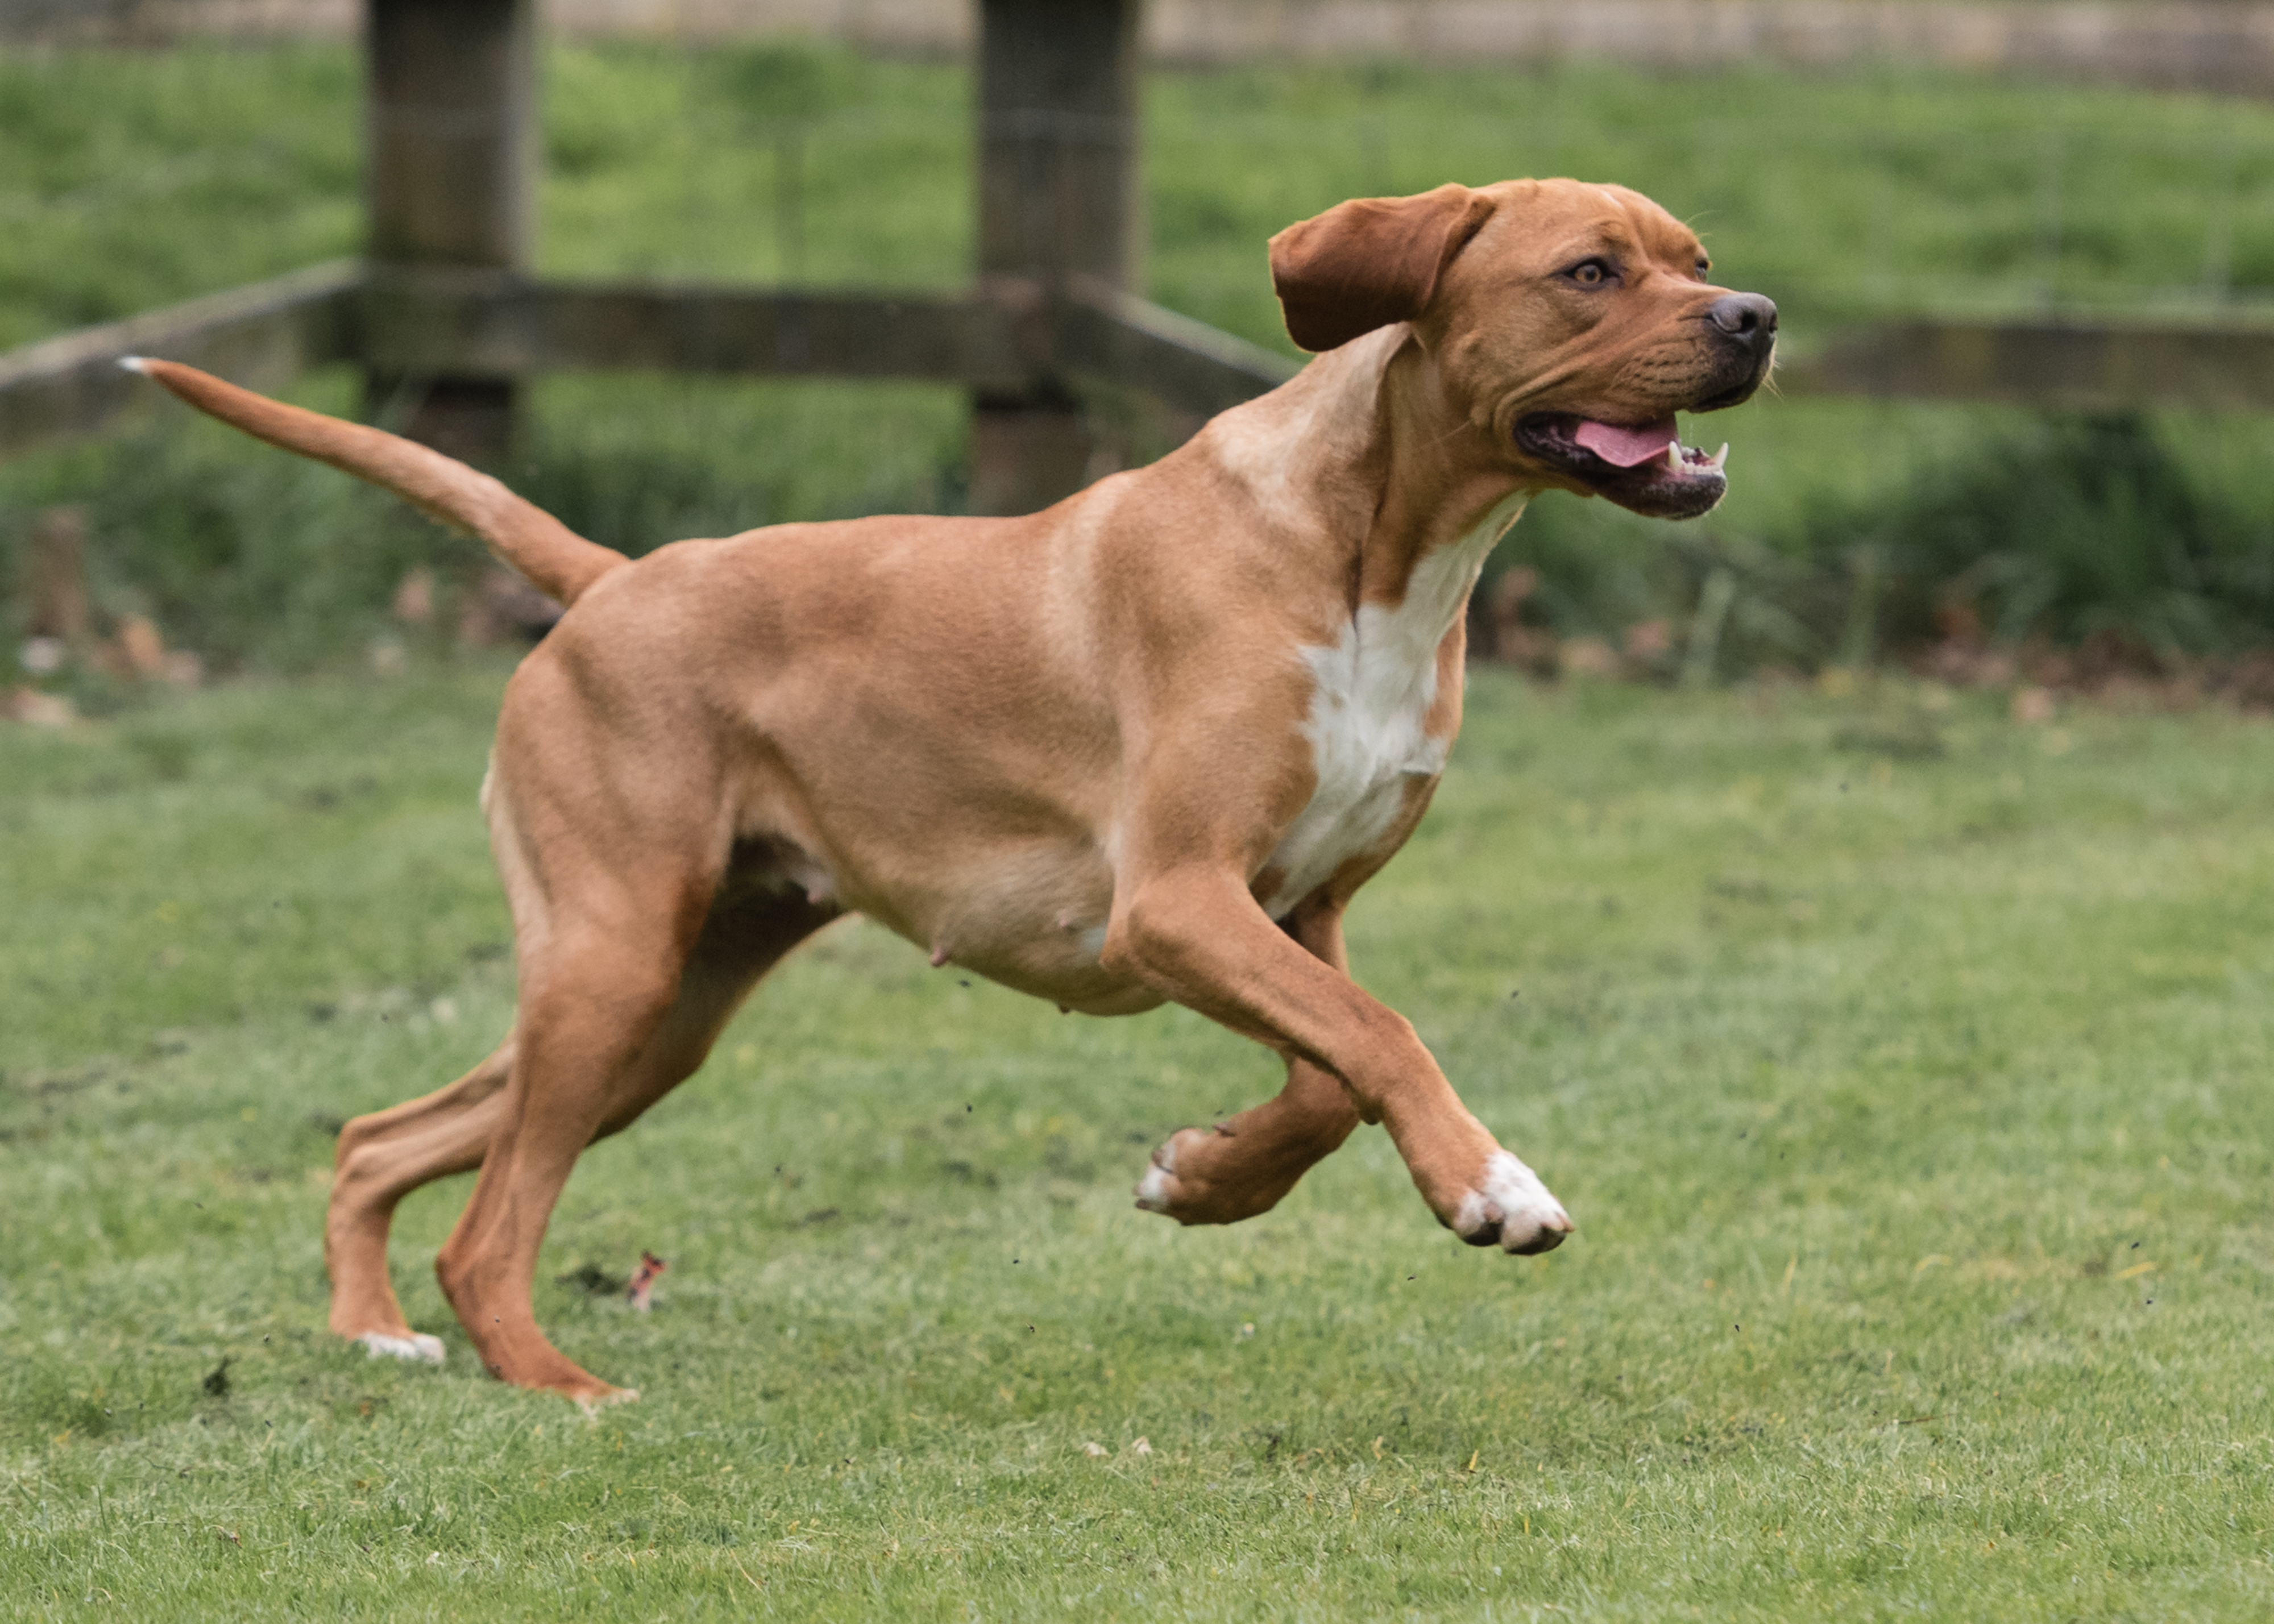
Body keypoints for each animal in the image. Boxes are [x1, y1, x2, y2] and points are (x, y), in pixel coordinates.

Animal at [129, 174, 1774, 1392]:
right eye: (1588, 271)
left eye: (1696, 260)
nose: (1757, 316)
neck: (1374, 551)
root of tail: (608, 579)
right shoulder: (1176, 904)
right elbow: (1383, 1040)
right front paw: (1490, 1187)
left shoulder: (1290, 916)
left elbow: (1331, 1075)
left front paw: (1204, 1177)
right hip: (612, 967)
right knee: (485, 1232)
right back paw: (557, 1384)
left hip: (659, 1011)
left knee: (377, 1140)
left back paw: (371, 1332)